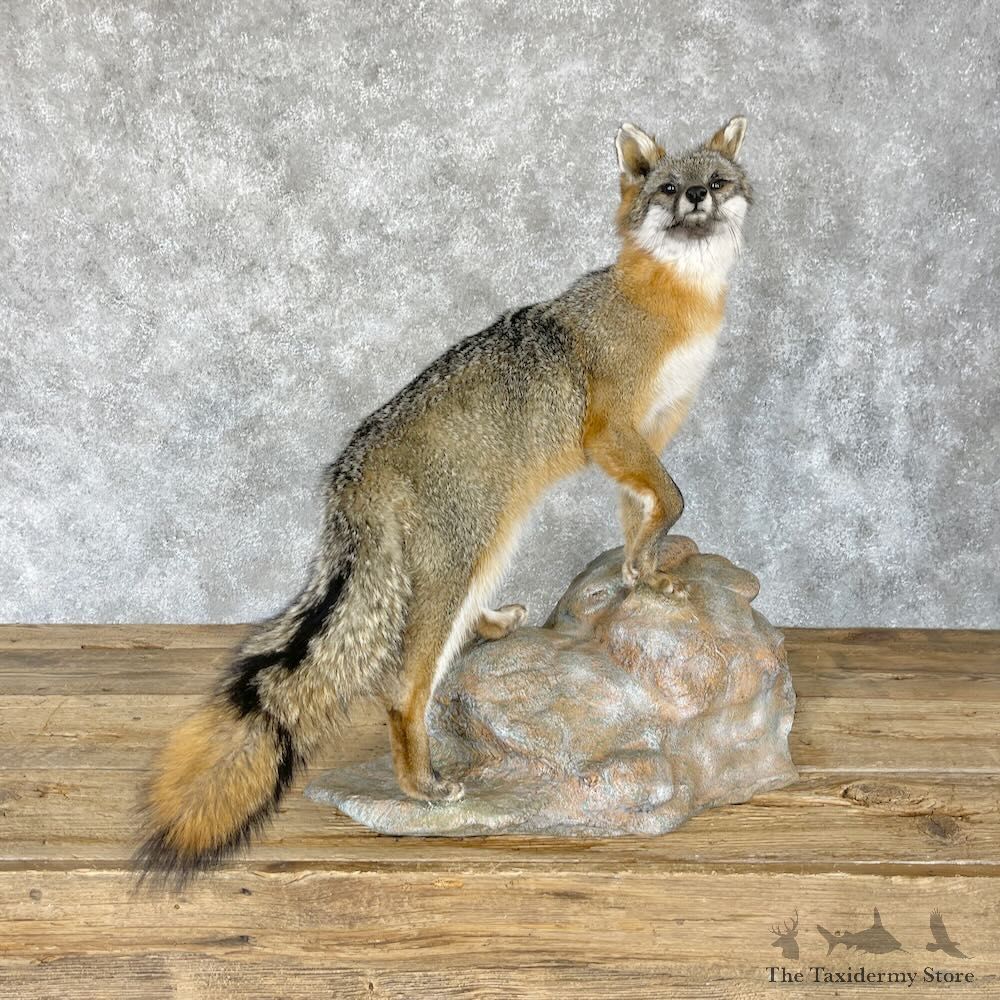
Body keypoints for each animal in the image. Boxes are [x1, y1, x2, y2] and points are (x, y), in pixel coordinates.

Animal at [136, 115, 753, 884]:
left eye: (716, 182)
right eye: (669, 188)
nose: (697, 196)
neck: (672, 303)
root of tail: (349, 466)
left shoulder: (649, 435)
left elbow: (645, 515)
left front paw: (643, 572)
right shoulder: (614, 432)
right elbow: (673, 498)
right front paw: (651, 566)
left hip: (488, 542)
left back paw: (494, 626)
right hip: (458, 559)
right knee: (404, 690)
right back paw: (420, 787)